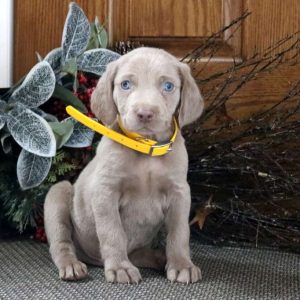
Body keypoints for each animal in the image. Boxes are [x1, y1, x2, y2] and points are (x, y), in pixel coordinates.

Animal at [44, 47, 204, 284]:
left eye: (168, 86)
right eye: (126, 84)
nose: (145, 113)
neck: (146, 151)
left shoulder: (180, 193)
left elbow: (179, 232)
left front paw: (181, 264)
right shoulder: (105, 191)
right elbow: (112, 232)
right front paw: (120, 267)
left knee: (140, 253)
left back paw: (160, 258)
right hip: (58, 194)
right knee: (61, 243)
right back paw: (72, 266)